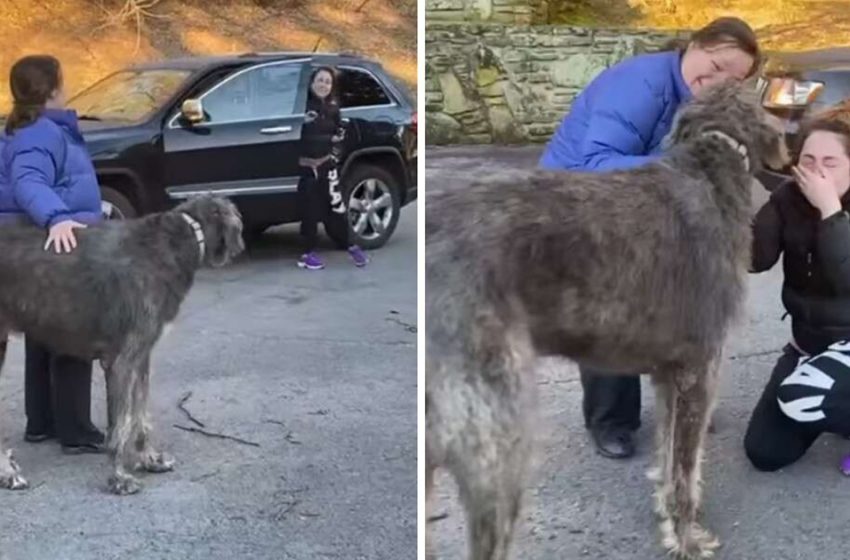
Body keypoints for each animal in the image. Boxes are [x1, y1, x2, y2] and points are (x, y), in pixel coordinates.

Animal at [0, 196, 243, 494]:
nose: (240, 246)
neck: (176, 240)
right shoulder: (122, 360)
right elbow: (122, 423)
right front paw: (119, 477)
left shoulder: (141, 356)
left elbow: (141, 414)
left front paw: (149, 459)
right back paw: (8, 473)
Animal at [424, 83, 788, 560]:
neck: (710, 163)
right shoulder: (699, 368)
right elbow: (684, 470)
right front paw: (687, 539)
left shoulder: (668, 375)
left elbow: (668, 455)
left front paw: (665, 514)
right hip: (496, 441)